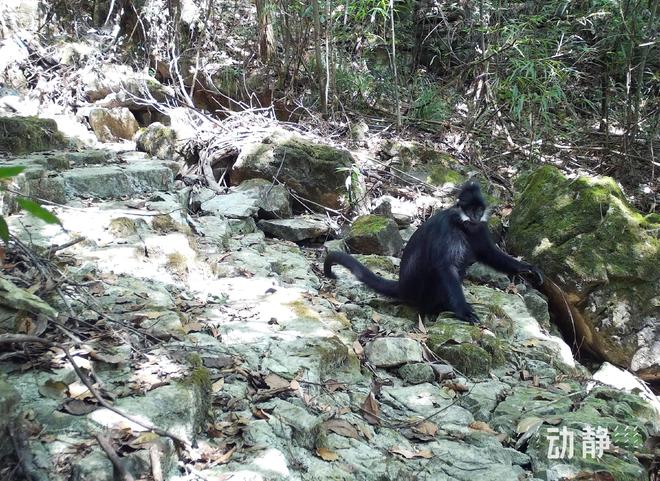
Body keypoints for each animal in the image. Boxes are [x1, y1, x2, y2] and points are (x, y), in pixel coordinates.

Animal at [322, 180, 544, 322]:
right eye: (471, 210)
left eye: (479, 210)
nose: (475, 216)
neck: (462, 225)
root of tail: (403, 286)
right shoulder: (448, 229)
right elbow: (446, 267)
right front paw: (463, 311)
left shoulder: (479, 228)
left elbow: (489, 253)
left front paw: (527, 269)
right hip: (422, 290)